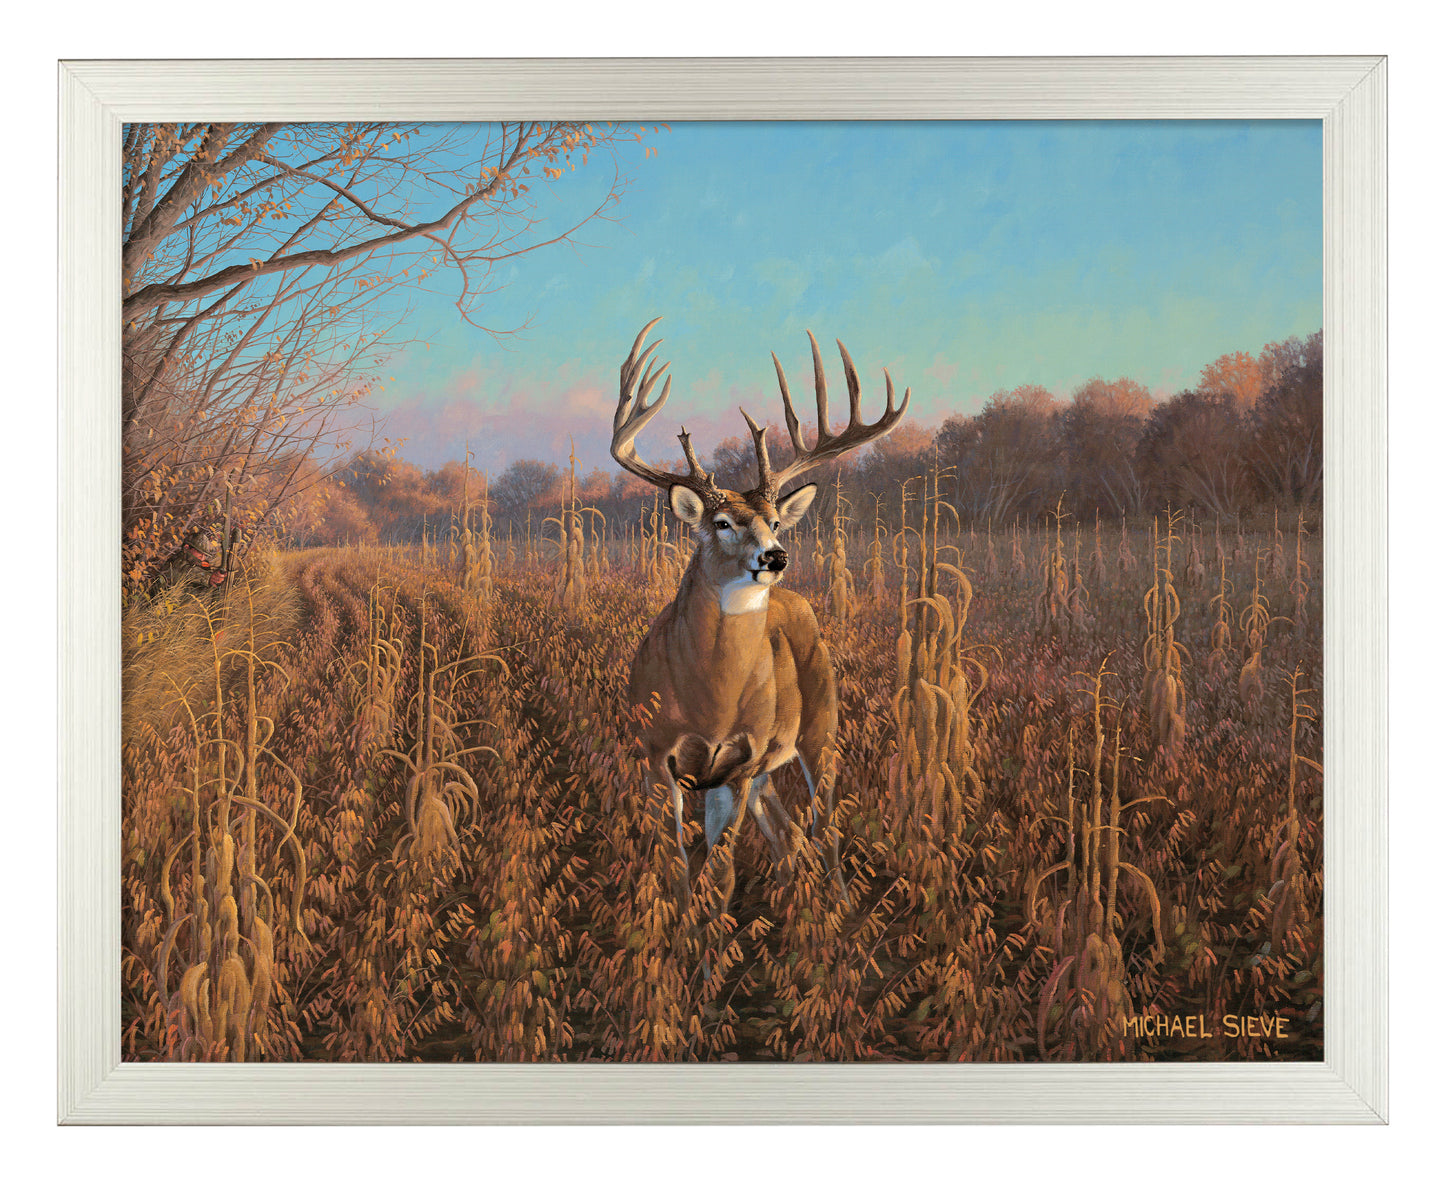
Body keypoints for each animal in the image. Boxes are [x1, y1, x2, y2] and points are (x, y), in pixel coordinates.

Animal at [611, 318, 911, 920]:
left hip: (822, 725)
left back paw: (839, 911)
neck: (710, 701)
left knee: (824, 825)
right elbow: (680, 868)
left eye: (774, 519)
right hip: (772, 761)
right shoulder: (656, 755)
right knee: (788, 830)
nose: (774, 556)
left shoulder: (741, 761)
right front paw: (684, 938)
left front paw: (709, 939)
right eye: (722, 522)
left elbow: (720, 873)